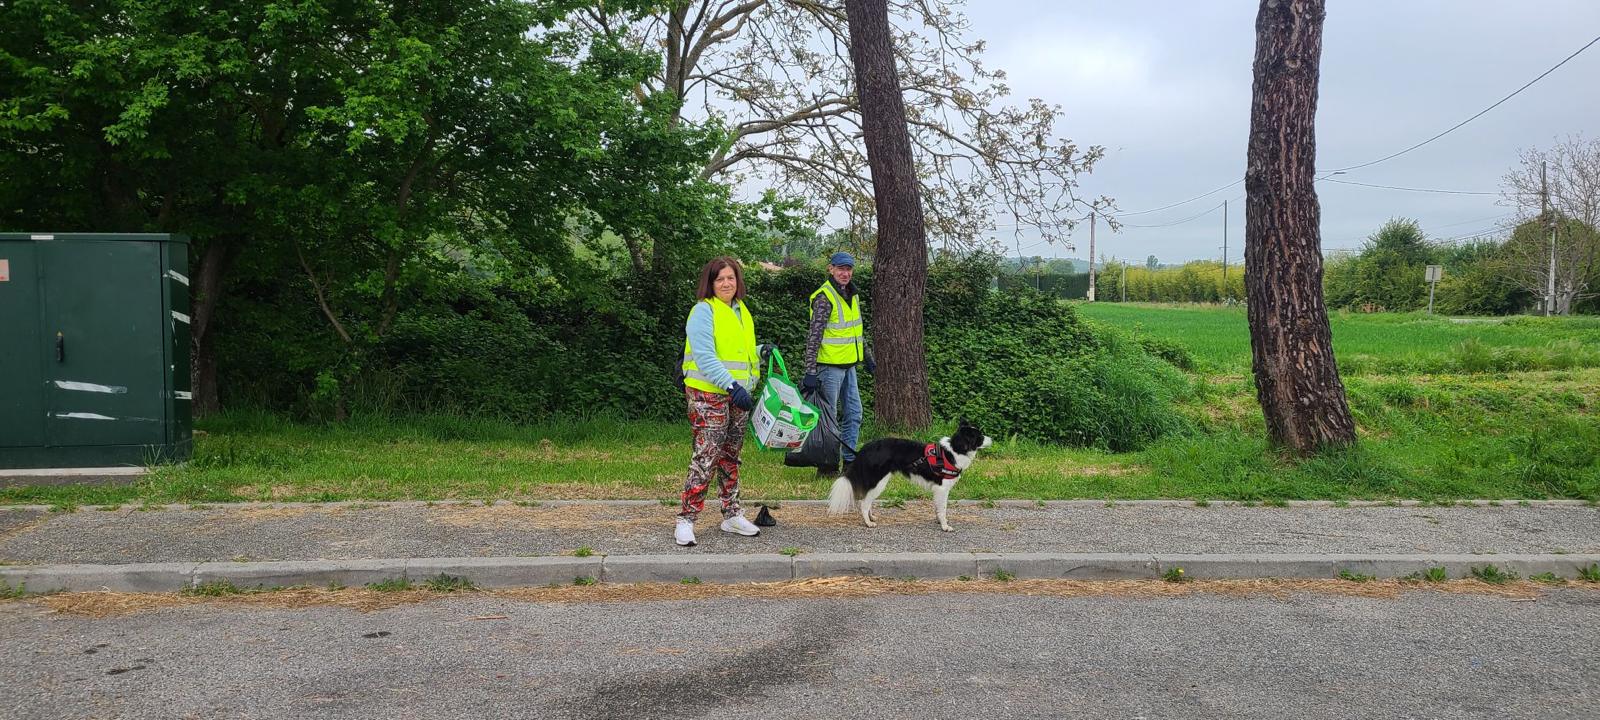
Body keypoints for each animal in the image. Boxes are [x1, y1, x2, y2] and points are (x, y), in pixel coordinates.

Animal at [827, 419, 993, 532]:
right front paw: (945, 526)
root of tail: (864, 449)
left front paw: (939, 521)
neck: (954, 451)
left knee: (868, 501)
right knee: (863, 503)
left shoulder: (937, 490)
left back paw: (871, 517)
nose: (992, 439)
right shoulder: (942, 489)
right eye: (979, 436)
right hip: (878, 481)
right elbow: (943, 509)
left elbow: (938, 508)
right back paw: (868, 522)